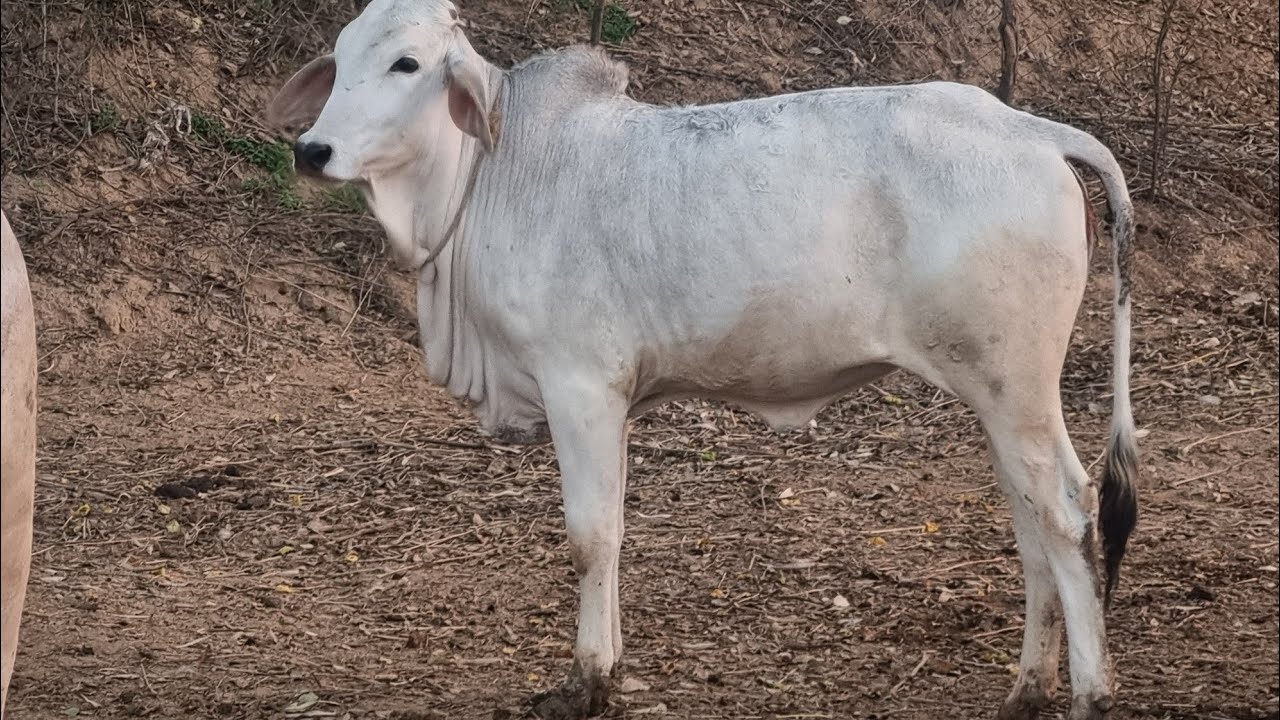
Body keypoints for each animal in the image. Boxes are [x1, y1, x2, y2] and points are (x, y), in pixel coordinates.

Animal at [266, 2, 1139, 718]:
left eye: (407, 64)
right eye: (339, 59)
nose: (313, 150)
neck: (496, 174)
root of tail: (1033, 129)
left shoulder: (578, 386)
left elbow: (589, 534)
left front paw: (585, 681)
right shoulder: (614, 399)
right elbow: (617, 527)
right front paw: (611, 667)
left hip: (1016, 386)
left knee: (1068, 511)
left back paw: (1090, 692)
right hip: (996, 395)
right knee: (1032, 523)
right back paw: (1027, 689)